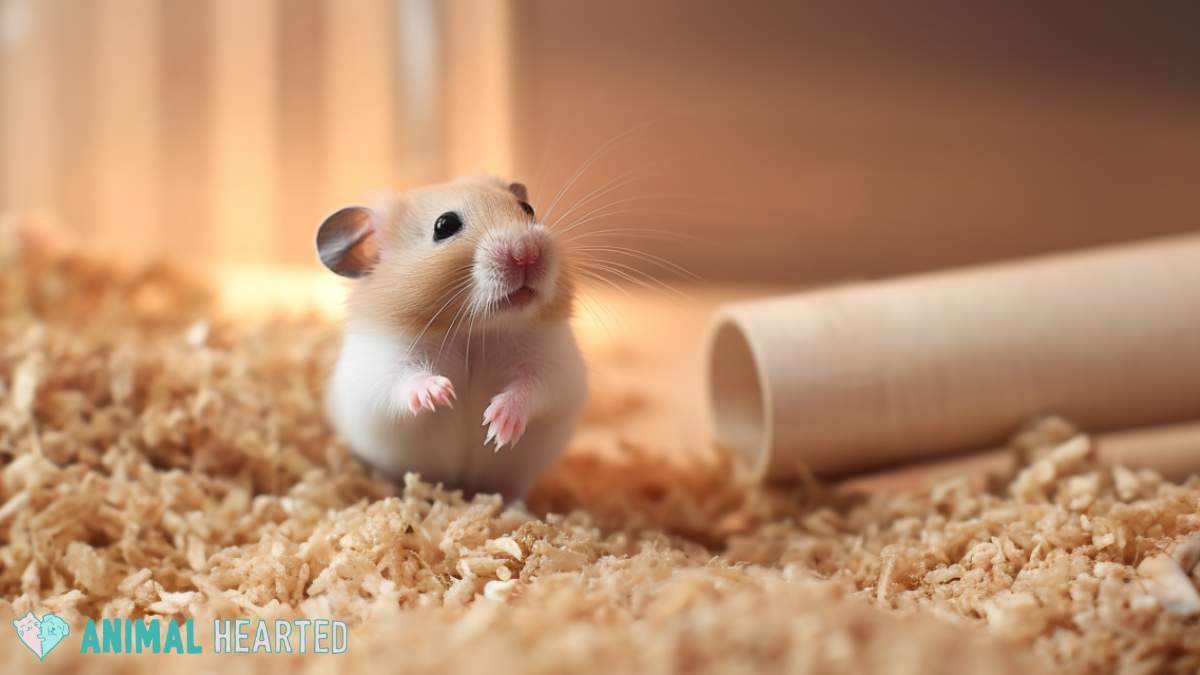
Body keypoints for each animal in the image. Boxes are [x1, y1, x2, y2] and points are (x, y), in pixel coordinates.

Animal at [314, 172, 585, 499]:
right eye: (444, 226)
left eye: (528, 209)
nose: (526, 253)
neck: (475, 332)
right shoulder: (378, 371)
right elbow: (402, 383)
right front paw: (441, 392)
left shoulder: (553, 366)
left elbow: (532, 388)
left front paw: (497, 424)